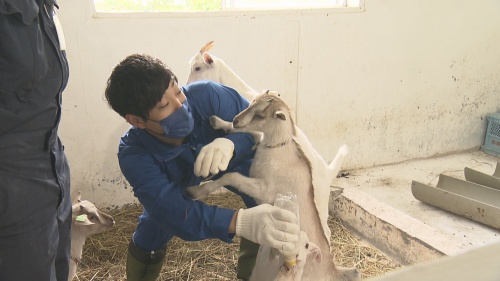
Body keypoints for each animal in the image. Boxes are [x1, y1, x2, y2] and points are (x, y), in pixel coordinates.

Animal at [186, 91, 358, 278]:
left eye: (260, 115)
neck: (278, 150)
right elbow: (253, 133)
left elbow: (232, 176)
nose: (236, 120)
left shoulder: (263, 189)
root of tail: (332, 270)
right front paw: (218, 121)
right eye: (252, 102)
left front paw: (195, 191)